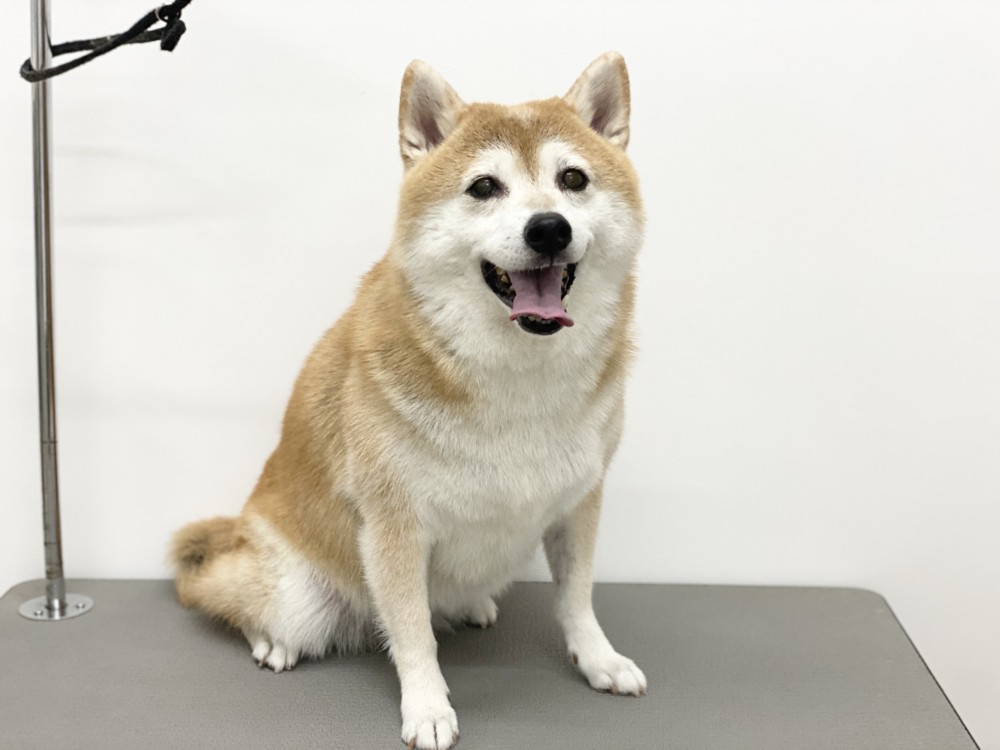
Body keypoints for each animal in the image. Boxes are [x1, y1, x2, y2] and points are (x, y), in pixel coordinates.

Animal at [170, 52, 645, 750]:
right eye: (484, 187)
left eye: (573, 179)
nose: (548, 228)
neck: (516, 379)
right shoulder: (393, 524)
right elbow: (414, 633)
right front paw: (427, 707)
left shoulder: (579, 500)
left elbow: (577, 598)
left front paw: (599, 659)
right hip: (293, 593)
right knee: (218, 592)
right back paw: (270, 641)